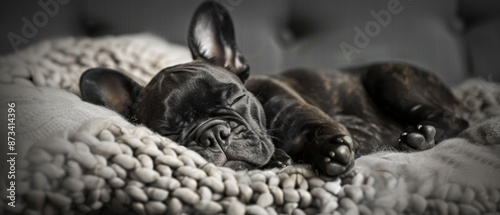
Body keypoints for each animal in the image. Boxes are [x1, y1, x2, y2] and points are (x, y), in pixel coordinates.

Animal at [79, 1, 468, 176]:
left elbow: (325, 131)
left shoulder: (312, 118)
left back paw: (419, 136)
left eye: (235, 98)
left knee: (453, 120)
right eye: (167, 131)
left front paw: (331, 154)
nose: (214, 133)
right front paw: (280, 158)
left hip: (388, 78)